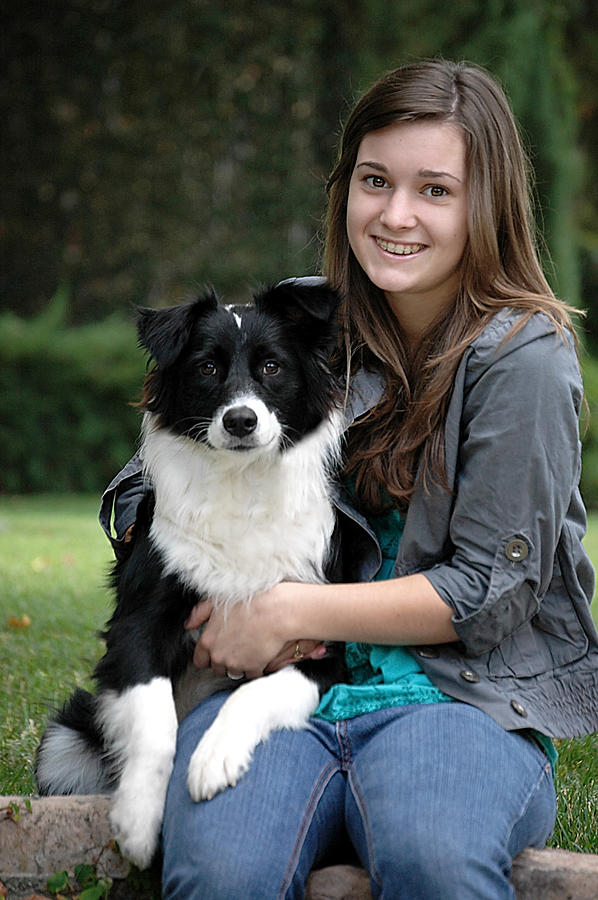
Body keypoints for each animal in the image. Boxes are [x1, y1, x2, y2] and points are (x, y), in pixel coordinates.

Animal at [36, 284, 346, 872]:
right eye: (207, 367)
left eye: (272, 366)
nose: (240, 421)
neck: (240, 484)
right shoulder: (135, 627)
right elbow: (156, 717)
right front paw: (138, 820)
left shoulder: (324, 645)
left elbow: (253, 692)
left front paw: (214, 757)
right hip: (64, 742)